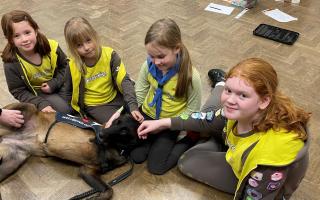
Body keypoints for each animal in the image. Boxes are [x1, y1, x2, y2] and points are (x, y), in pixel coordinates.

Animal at [0, 102, 139, 199]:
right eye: (116, 121)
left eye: (124, 131)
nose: (101, 134)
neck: (118, 147)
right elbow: (110, 190)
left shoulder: (87, 171)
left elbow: (109, 190)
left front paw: (95, 196)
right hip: (27, 107)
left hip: (11, 163)